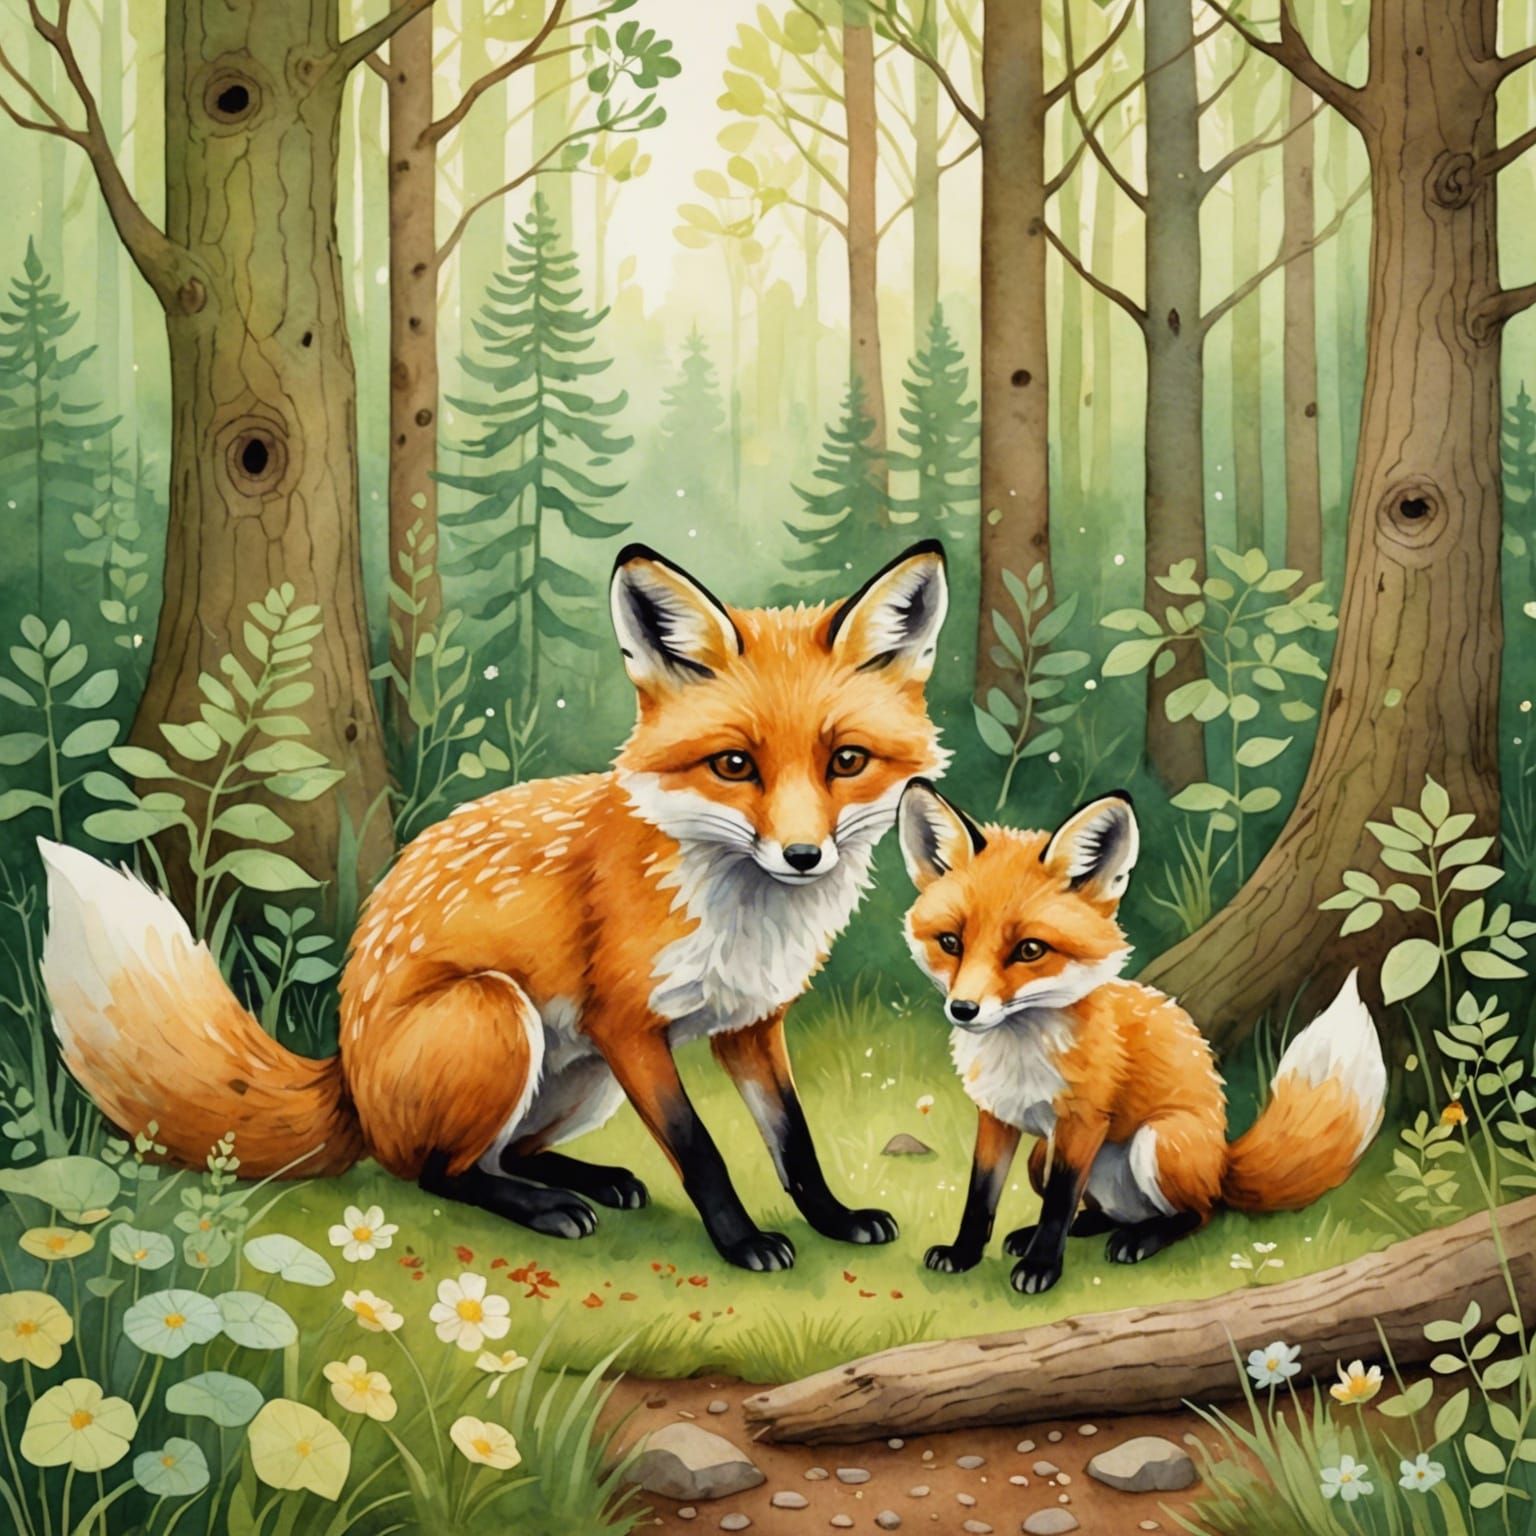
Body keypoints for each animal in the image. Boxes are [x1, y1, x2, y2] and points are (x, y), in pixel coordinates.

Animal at [37, 540, 951, 1273]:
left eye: (846, 761)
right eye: (734, 765)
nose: (802, 856)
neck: (741, 916)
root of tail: (347, 1078)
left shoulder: (751, 1026)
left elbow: (793, 1142)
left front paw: (834, 1218)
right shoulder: (628, 1025)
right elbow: (702, 1153)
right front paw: (744, 1243)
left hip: (582, 1077)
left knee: (507, 1153)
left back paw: (594, 1179)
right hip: (499, 1015)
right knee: (441, 1172)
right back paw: (549, 1208)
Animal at [895, 778, 1386, 1295]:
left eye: (1029, 950)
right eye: (951, 942)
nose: (963, 1010)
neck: (1021, 1055)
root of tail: (1223, 1163)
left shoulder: (1084, 1123)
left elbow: (1059, 1205)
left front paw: (1041, 1267)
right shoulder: (995, 1117)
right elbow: (981, 1195)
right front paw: (965, 1253)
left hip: (1160, 1142)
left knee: (1199, 1213)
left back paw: (1140, 1240)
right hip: (1042, 1157)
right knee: (1107, 1212)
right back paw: (1083, 1228)